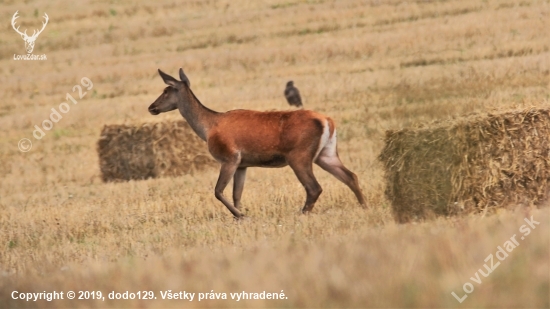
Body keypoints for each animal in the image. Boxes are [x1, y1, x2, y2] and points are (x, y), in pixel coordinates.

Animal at [149, 68, 368, 217]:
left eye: (167, 90)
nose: (151, 107)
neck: (208, 127)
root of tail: (327, 121)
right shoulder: (243, 164)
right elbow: (237, 194)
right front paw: (238, 216)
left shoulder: (229, 156)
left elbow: (218, 191)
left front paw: (241, 215)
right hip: (326, 153)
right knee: (351, 176)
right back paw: (364, 206)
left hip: (299, 154)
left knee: (314, 187)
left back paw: (301, 213)